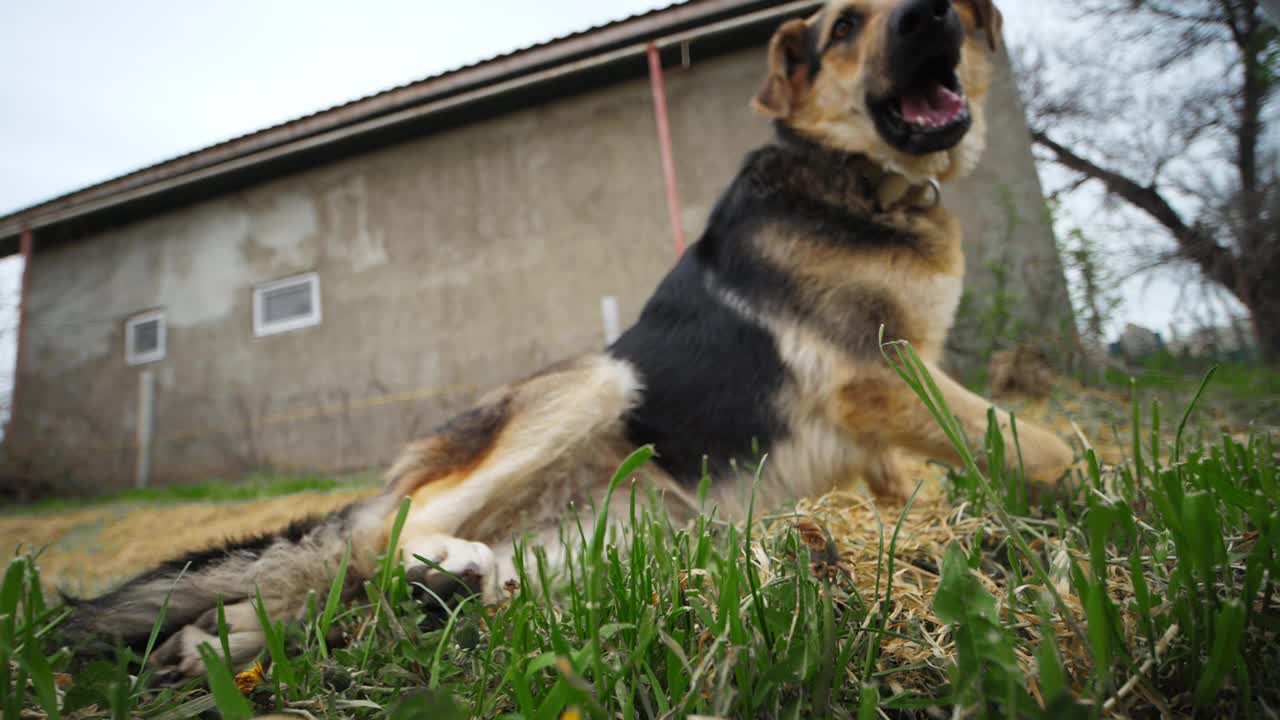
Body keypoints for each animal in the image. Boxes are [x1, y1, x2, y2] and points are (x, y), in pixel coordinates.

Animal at [64, 0, 1075, 676]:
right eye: (842, 28)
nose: (925, 15)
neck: (856, 178)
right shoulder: (879, 373)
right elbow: (1042, 444)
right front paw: (1087, 495)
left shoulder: (896, 400)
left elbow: (941, 463)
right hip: (594, 382)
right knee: (380, 539)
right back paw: (428, 571)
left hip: (630, 535)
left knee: (356, 585)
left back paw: (228, 638)